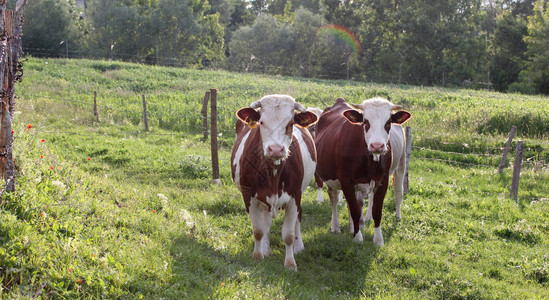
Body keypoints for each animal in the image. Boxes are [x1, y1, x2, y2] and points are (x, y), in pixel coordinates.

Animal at [230, 95, 316, 270]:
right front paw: (258, 256)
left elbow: (288, 234)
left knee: (298, 218)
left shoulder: (294, 196)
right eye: (262, 122)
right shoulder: (249, 196)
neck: (273, 174)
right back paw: (265, 248)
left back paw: (298, 246)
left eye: (291, 123)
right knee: (266, 224)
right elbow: (258, 230)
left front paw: (290, 263)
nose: (276, 149)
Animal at [312, 97, 412, 245]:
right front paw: (358, 237)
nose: (377, 145)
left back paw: (352, 227)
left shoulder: (383, 181)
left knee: (397, 193)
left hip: (401, 164)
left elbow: (376, 211)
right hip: (331, 178)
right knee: (334, 198)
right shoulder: (346, 181)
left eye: (388, 122)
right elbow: (355, 210)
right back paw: (335, 226)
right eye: (365, 121)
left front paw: (378, 240)